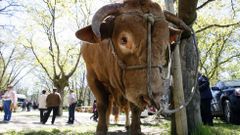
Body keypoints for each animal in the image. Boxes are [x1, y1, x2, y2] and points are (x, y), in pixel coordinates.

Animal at [76, 0, 190, 134]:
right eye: (123, 40)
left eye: (164, 43)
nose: (154, 96)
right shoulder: (92, 78)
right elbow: (102, 104)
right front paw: (101, 129)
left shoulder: (133, 90)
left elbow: (134, 107)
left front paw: (135, 128)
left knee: (126, 108)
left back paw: (127, 125)